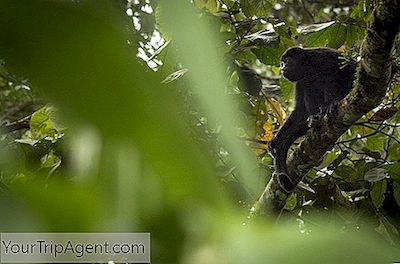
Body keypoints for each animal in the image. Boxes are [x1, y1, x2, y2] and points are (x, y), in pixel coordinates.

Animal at [268, 47, 356, 192]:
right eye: (282, 63)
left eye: (286, 61)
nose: (282, 68)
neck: (309, 67)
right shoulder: (299, 81)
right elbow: (300, 109)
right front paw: (275, 140)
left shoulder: (323, 55)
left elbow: (348, 67)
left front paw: (331, 103)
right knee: (309, 85)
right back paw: (314, 120)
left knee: (332, 75)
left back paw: (326, 108)